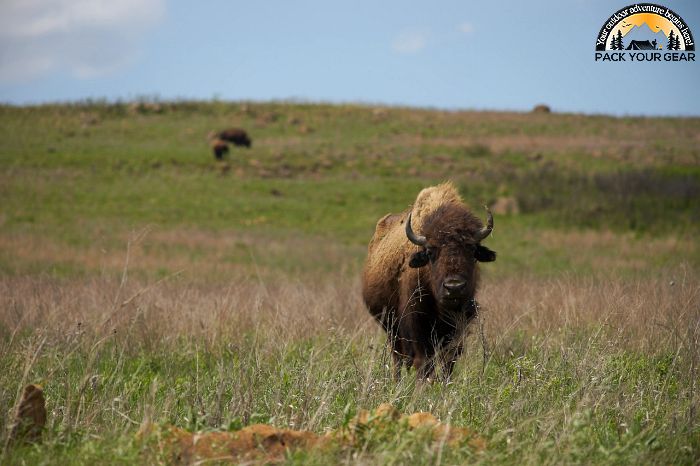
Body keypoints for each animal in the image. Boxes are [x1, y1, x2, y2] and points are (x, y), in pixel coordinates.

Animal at [360, 180, 498, 380]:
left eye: (472, 249)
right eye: (431, 252)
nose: (453, 287)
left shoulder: (458, 327)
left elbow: (448, 362)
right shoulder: (418, 326)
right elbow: (424, 362)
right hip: (391, 328)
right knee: (398, 358)